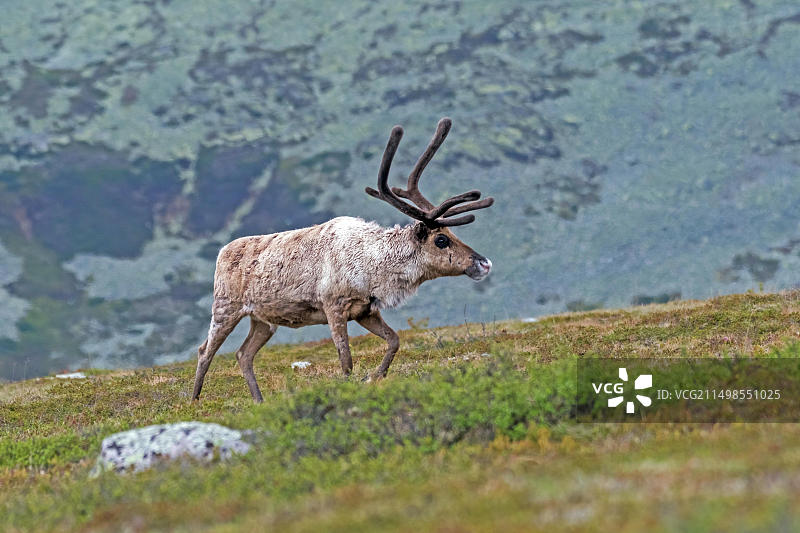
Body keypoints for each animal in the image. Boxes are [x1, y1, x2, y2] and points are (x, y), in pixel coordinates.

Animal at [192, 118, 493, 402]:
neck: (373, 265)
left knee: (243, 354)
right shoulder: (333, 306)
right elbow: (346, 361)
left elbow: (394, 341)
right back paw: (195, 400)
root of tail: (222, 251)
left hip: (263, 319)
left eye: (452, 233)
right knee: (205, 350)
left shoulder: (365, 310)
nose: (484, 263)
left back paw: (259, 400)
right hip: (226, 307)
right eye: (441, 240)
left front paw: (375, 377)